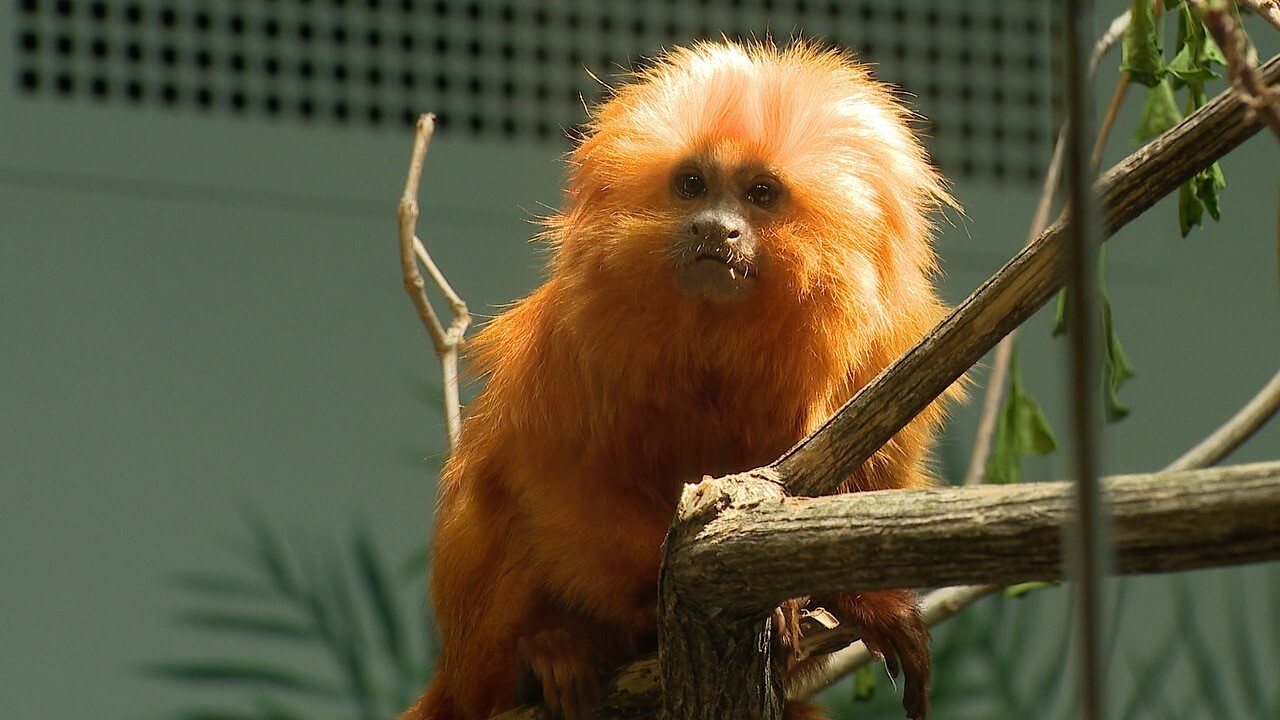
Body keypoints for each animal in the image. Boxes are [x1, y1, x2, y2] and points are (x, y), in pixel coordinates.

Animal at [402, 40, 954, 720]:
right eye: (693, 185)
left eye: (760, 193)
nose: (713, 227)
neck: (716, 337)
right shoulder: (576, 338)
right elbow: (552, 476)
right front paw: (656, 597)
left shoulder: (888, 347)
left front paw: (857, 602)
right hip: (480, 652)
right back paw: (552, 654)